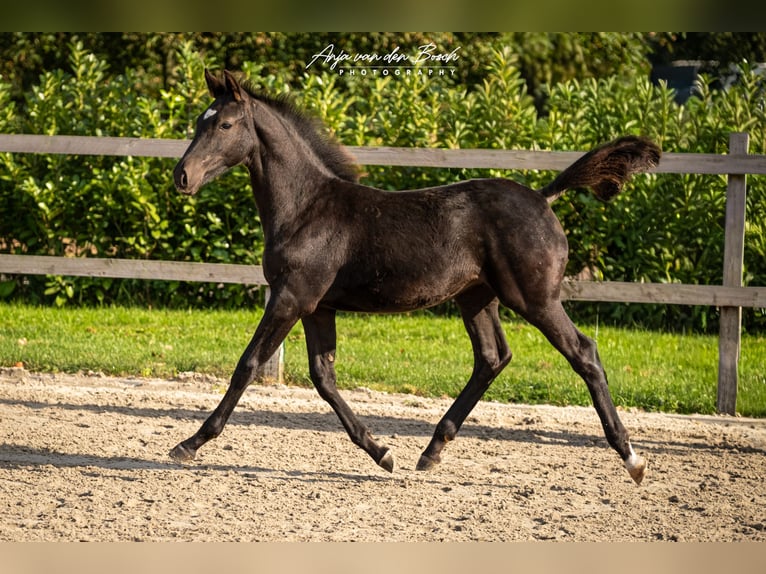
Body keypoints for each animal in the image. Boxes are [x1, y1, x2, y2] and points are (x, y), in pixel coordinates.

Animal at [170, 69, 660, 485]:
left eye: (225, 125)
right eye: (199, 122)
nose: (182, 177)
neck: (306, 208)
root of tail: (544, 197)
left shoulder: (290, 297)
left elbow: (248, 365)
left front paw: (188, 444)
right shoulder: (316, 306)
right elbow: (323, 377)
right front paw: (382, 453)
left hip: (534, 298)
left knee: (584, 353)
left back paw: (633, 458)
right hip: (476, 297)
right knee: (492, 358)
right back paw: (432, 450)